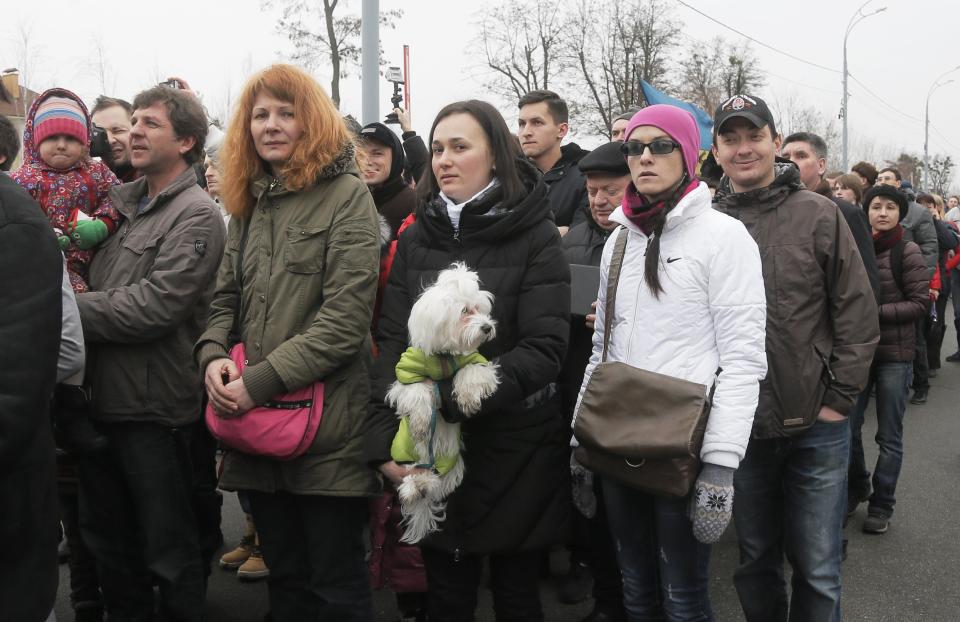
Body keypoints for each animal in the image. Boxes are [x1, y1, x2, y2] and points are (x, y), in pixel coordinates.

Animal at [384, 264, 498, 544]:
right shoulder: (407, 374)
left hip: (451, 463)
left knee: (437, 484)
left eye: (479, 308)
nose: (487, 327)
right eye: (465, 311)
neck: (444, 356)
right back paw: (414, 487)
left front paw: (467, 399)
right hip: (408, 452)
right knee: (415, 473)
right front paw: (421, 421)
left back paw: (424, 485)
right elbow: (418, 392)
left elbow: (470, 373)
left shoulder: (475, 362)